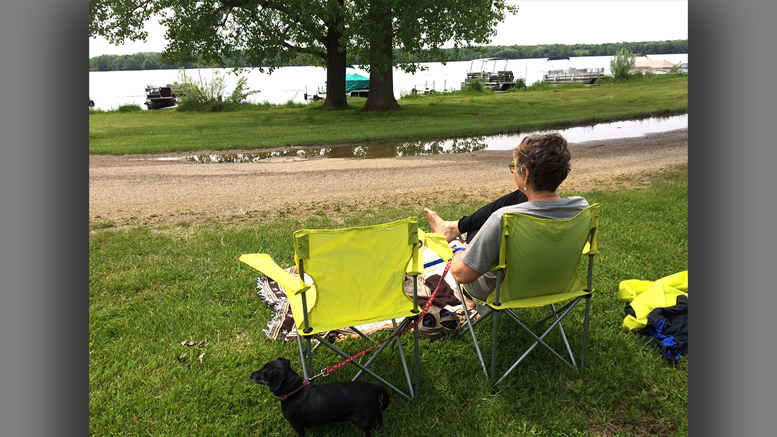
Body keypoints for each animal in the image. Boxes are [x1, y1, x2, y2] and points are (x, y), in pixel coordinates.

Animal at [252, 356, 392, 434]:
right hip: (373, 411)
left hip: (365, 419)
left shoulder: (296, 425)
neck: (295, 390)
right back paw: (378, 428)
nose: (250, 375)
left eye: (263, 372)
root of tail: (374, 387)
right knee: (380, 416)